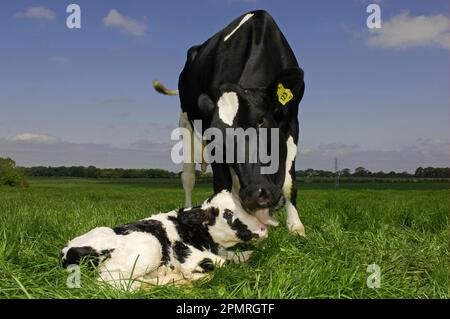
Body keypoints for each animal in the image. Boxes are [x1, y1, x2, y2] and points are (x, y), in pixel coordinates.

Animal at [59, 191, 270, 292]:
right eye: (227, 214)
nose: (263, 228)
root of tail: (68, 249)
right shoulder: (190, 257)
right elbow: (222, 265)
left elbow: (237, 256)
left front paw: (247, 255)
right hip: (148, 246)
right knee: (113, 284)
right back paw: (177, 281)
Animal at [154, 10, 306, 236]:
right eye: (217, 135)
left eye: (261, 120)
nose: (254, 195)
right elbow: (221, 184)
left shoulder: (292, 120)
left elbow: (289, 183)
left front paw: (296, 227)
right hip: (185, 120)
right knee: (188, 177)